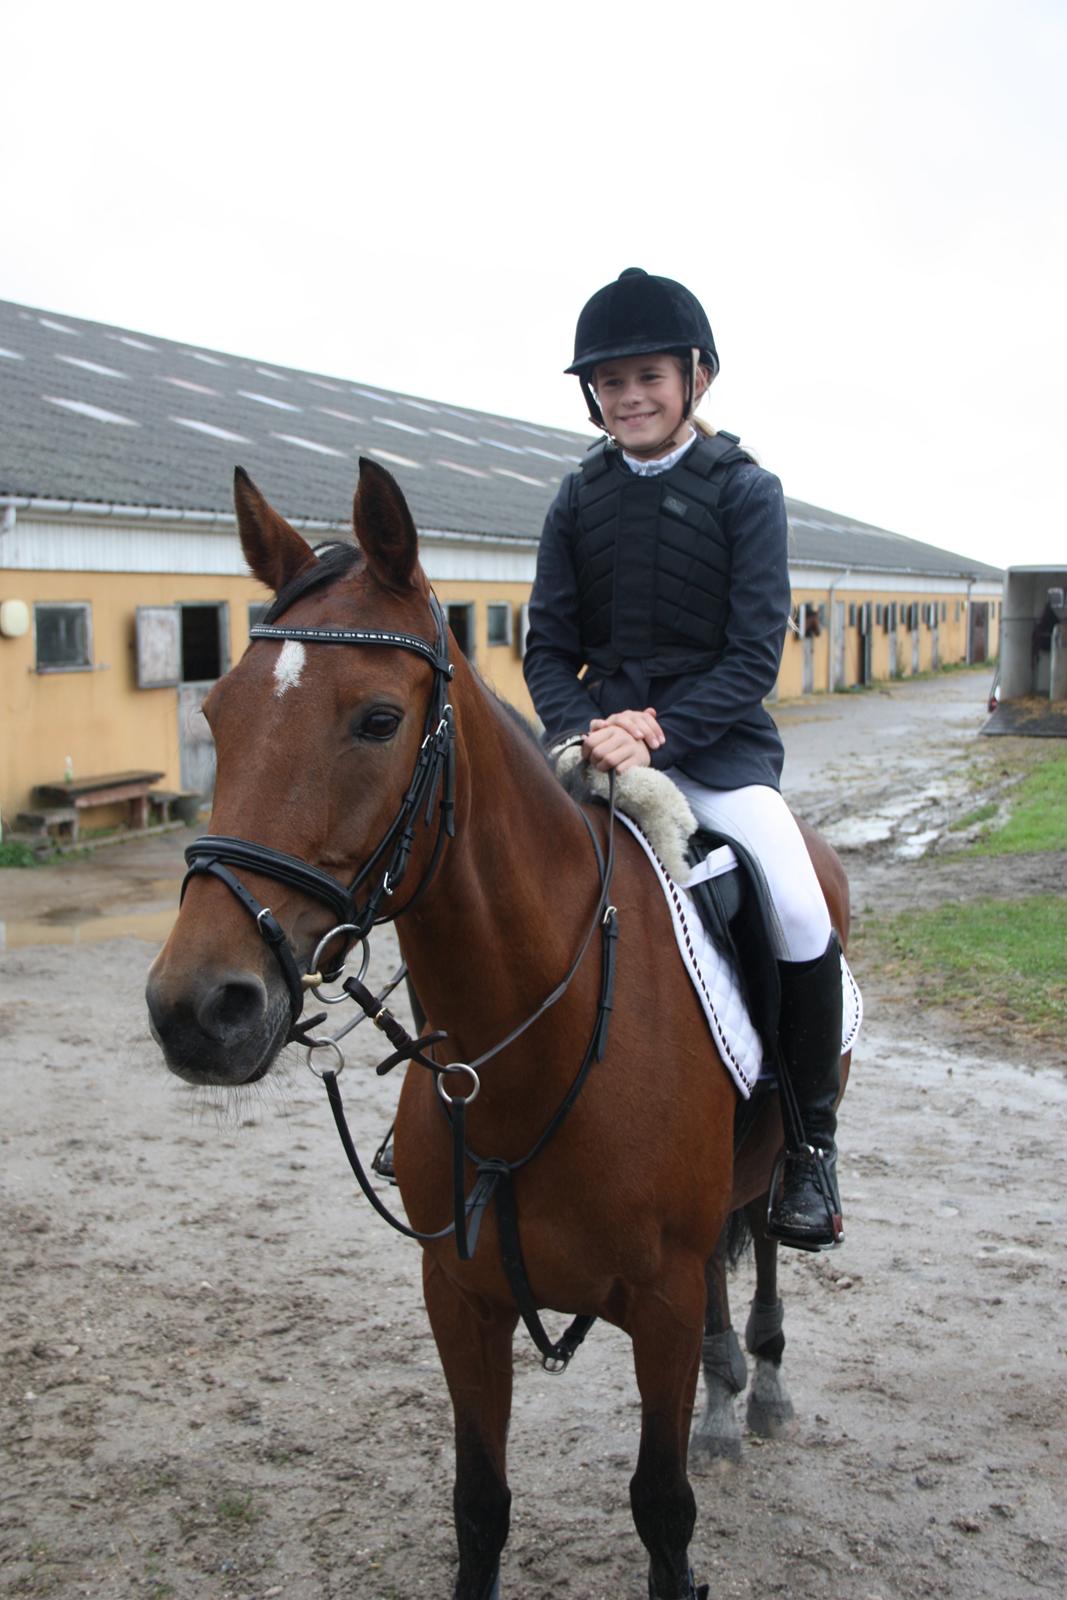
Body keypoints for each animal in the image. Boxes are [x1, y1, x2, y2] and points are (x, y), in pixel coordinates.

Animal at [147, 457, 851, 1593]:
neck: (532, 1044)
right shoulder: (459, 1299)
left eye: (377, 720)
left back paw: (765, 1381)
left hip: (771, 1159)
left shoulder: (654, 1305)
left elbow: (662, 1511)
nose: (198, 1009)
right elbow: (478, 1506)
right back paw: (725, 1396)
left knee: (768, 1230)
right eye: (217, 708)